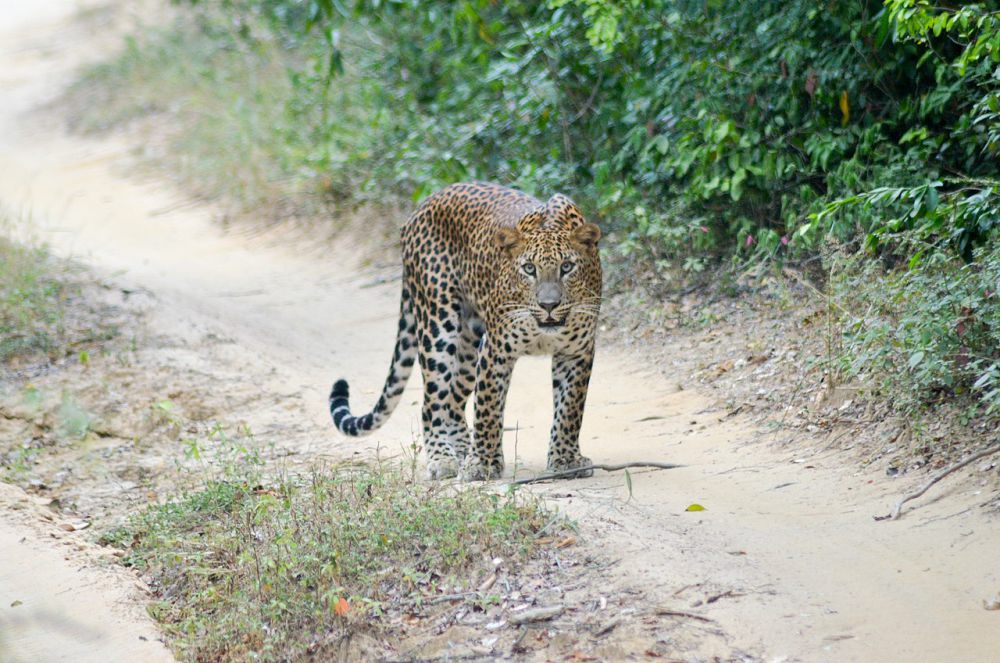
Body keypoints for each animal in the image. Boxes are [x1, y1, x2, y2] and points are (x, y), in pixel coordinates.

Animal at [332, 182, 604, 482]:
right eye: (529, 268)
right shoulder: (495, 350)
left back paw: (462, 449)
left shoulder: (576, 353)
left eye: (567, 267)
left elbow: (570, 409)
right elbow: (488, 408)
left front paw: (566, 460)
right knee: (431, 404)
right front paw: (482, 464)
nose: (548, 305)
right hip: (438, 326)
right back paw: (443, 459)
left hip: (468, 342)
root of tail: (423, 205)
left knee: (453, 402)